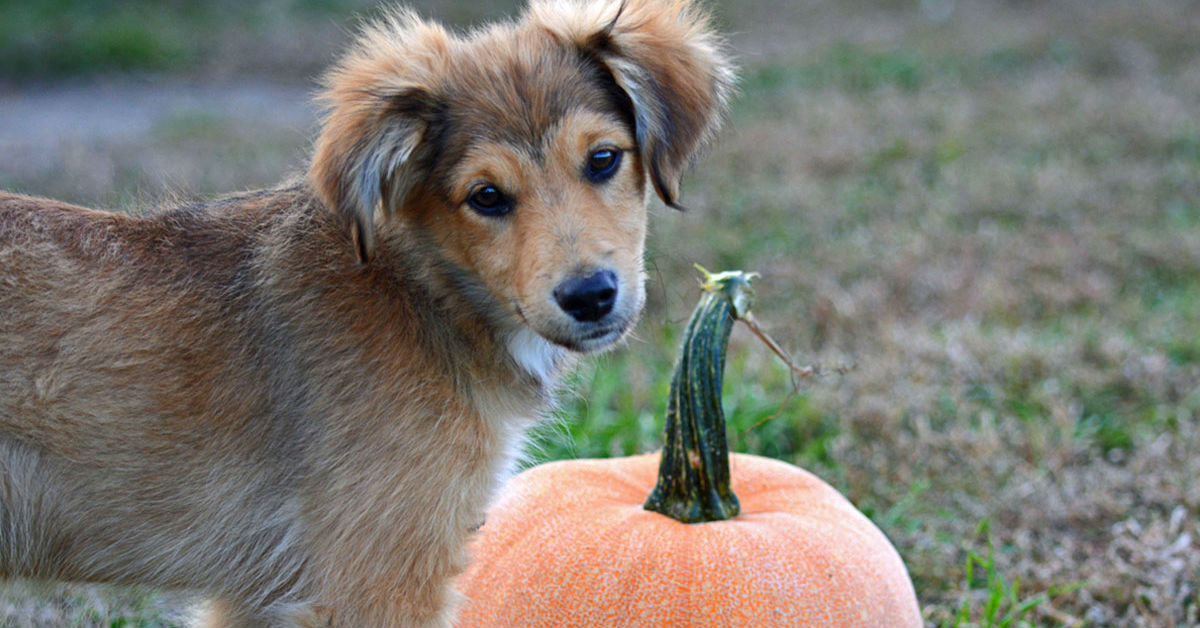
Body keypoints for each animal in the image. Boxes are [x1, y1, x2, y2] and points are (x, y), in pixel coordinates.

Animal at [0, 2, 729, 624]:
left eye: (603, 159)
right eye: (486, 197)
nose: (590, 296)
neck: (424, 293)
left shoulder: (258, 596)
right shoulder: (377, 580)